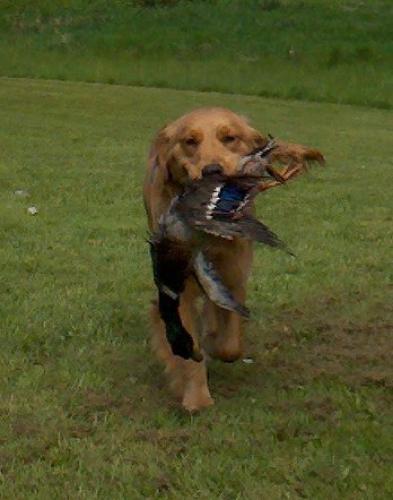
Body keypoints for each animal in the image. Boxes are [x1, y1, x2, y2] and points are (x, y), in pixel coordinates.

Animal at [142, 106, 324, 410]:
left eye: (229, 138)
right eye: (189, 142)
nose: (212, 171)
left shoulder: (234, 277)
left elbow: (231, 344)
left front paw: (214, 345)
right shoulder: (182, 288)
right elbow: (191, 340)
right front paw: (197, 398)